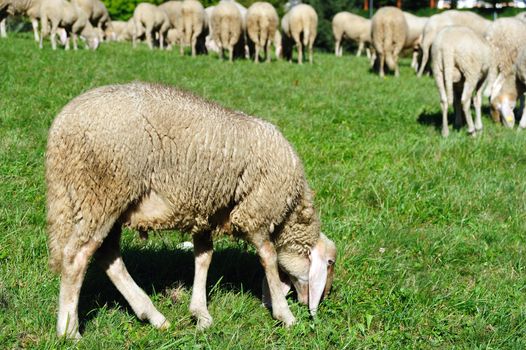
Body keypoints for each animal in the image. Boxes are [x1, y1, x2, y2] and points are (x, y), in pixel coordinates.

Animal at [47, 82, 340, 340]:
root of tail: (60, 130)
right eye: (330, 263)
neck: (290, 211)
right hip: (101, 192)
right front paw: (284, 314)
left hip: (105, 201)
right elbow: (268, 256)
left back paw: (153, 316)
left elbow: (204, 256)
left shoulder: (207, 210)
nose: (319, 300)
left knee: (109, 257)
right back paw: (69, 331)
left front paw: (201, 314)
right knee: (75, 258)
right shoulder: (255, 209)